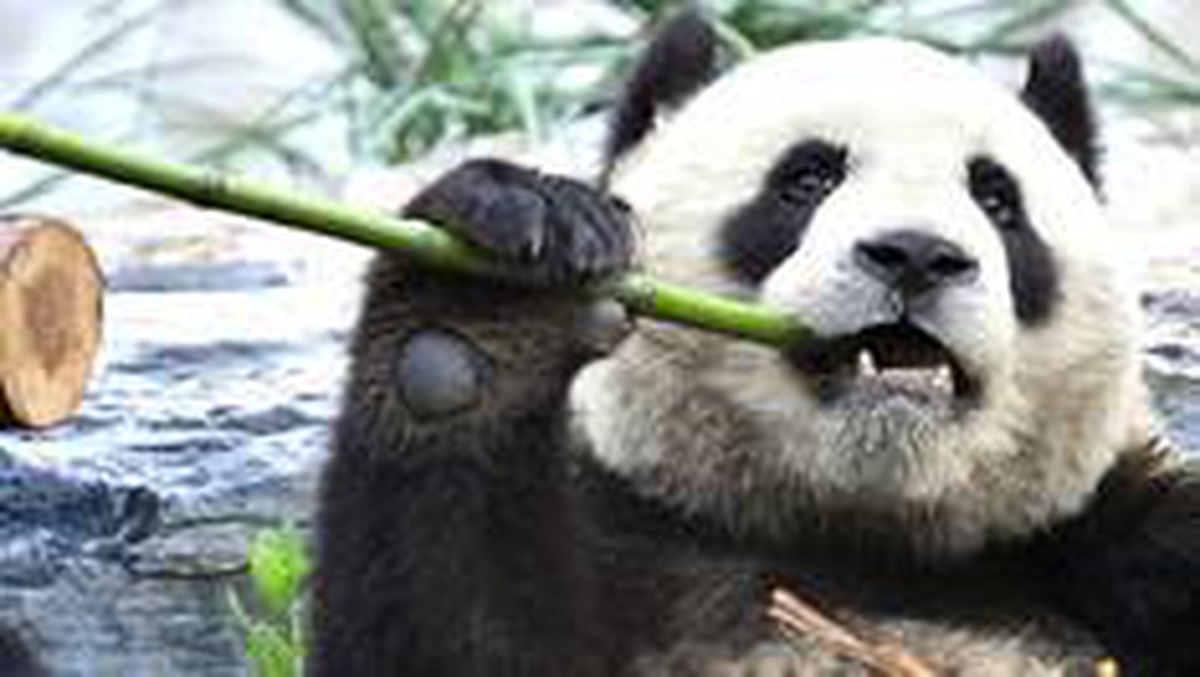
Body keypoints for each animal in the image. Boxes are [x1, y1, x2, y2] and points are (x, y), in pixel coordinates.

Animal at [310, 10, 1200, 676]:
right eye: (806, 179)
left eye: (997, 199)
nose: (916, 254)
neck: (862, 539)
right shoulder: (633, 532)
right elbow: (455, 640)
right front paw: (483, 308)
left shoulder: (1115, 540)